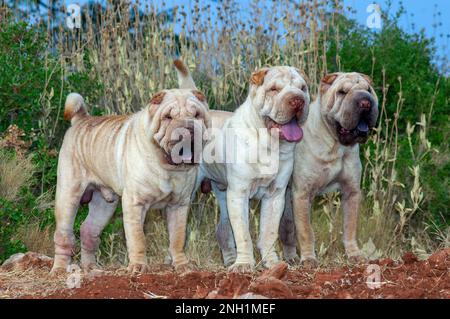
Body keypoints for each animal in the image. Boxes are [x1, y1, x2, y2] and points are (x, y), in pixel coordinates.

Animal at [51, 60, 210, 276]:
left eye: (197, 115)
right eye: (168, 117)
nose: (188, 128)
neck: (167, 166)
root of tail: (81, 119)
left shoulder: (179, 205)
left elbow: (177, 238)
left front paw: (182, 265)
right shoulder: (135, 202)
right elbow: (137, 238)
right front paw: (137, 266)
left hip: (103, 203)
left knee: (88, 230)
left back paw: (91, 266)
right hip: (68, 195)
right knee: (64, 235)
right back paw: (59, 268)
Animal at [282, 72, 380, 268]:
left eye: (369, 90)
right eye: (342, 92)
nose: (366, 103)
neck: (335, 143)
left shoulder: (351, 191)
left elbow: (350, 226)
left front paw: (354, 254)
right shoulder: (302, 194)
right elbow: (306, 230)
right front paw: (309, 259)